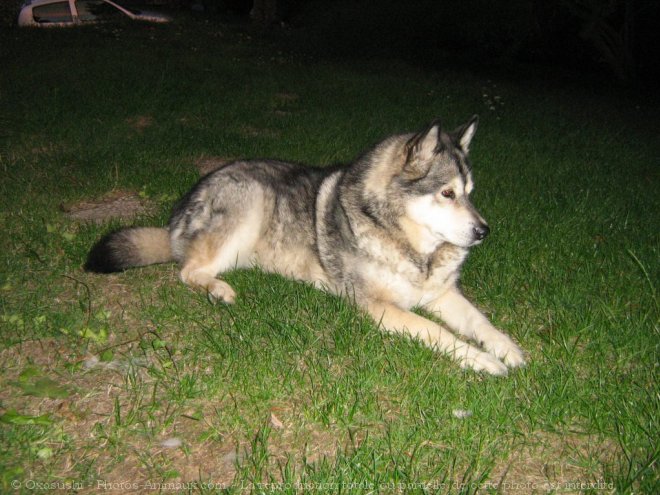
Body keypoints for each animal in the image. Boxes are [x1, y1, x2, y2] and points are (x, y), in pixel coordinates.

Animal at [85, 118, 524, 376]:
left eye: (469, 192)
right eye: (446, 193)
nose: (484, 231)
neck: (411, 245)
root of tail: (176, 217)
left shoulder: (442, 294)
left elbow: (480, 322)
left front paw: (506, 348)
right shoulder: (381, 309)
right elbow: (438, 332)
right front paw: (481, 359)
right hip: (249, 202)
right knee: (188, 270)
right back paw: (219, 289)